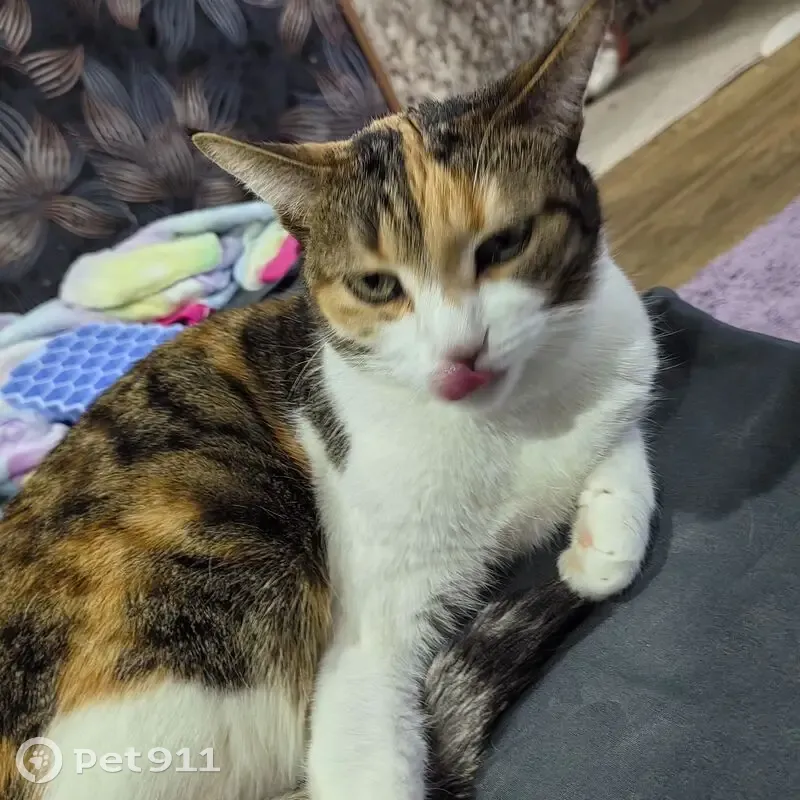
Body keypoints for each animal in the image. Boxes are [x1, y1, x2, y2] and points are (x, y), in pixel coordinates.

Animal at [0, 1, 657, 798]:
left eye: (505, 245)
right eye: (378, 286)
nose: (462, 352)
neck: (510, 425)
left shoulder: (620, 359)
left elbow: (622, 437)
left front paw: (603, 541)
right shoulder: (365, 639)